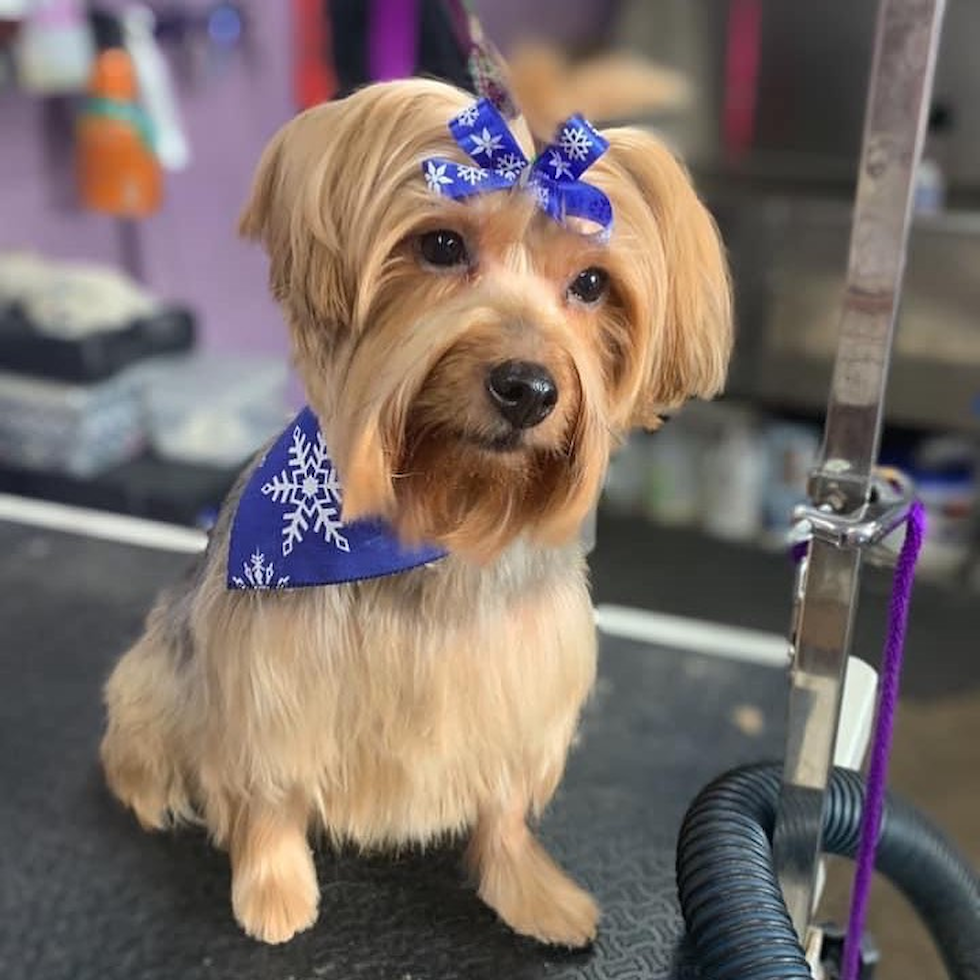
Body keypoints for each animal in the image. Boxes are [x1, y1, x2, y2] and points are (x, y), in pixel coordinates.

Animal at [101, 78, 728, 948]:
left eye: (593, 285)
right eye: (440, 245)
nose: (527, 387)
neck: (444, 511)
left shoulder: (520, 690)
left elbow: (503, 807)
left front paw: (532, 891)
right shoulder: (271, 682)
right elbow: (268, 794)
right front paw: (274, 890)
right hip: (155, 675)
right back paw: (149, 788)